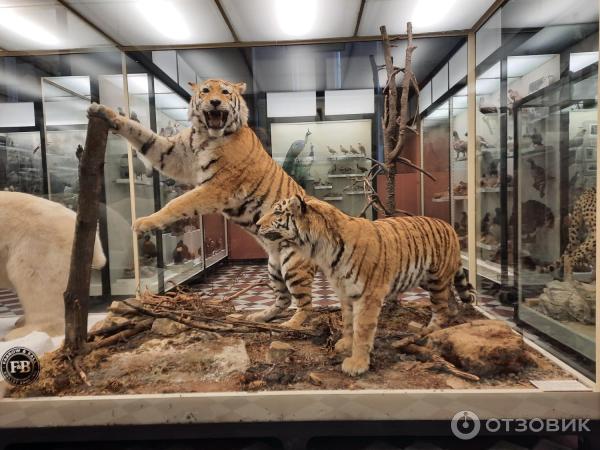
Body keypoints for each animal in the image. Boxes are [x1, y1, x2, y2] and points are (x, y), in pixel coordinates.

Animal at [88, 80, 314, 326]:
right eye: (205, 91)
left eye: (225, 92)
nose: (214, 102)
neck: (204, 136)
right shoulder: (174, 155)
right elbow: (144, 135)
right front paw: (104, 112)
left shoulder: (216, 187)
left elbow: (178, 203)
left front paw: (144, 223)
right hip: (274, 267)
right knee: (283, 300)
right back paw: (259, 316)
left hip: (292, 264)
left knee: (305, 304)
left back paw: (292, 324)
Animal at [255, 197, 476, 376]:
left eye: (277, 212)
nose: (256, 224)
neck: (321, 249)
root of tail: (449, 226)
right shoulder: (344, 292)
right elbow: (347, 322)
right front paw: (345, 344)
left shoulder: (369, 294)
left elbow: (362, 329)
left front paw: (357, 364)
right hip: (429, 279)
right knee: (451, 301)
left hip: (436, 279)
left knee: (441, 309)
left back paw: (427, 331)